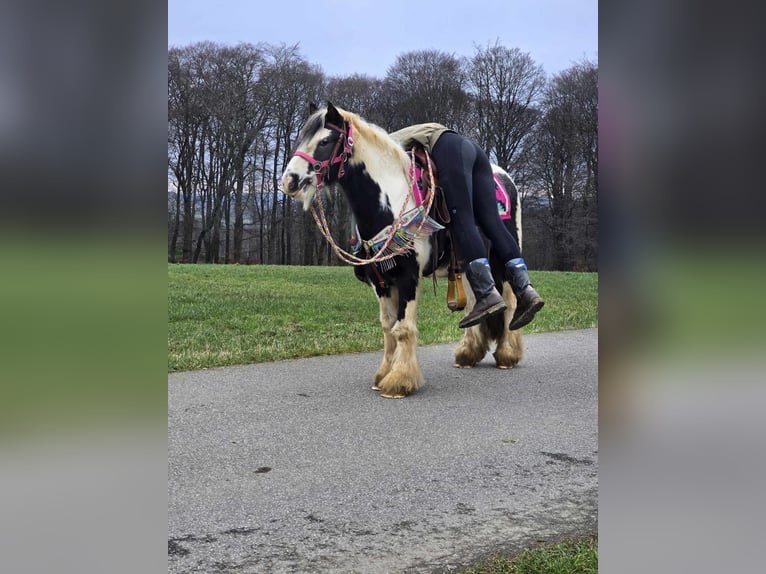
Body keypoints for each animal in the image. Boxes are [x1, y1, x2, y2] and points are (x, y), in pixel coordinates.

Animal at [284, 103, 528, 398]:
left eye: (324, 141)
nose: (289, 181)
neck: (390, 201)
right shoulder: (381, 282)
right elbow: (388, 328)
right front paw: (383, 374)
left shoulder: (408, 278)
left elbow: (402, 329)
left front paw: (399, 380)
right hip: (468, 264)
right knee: (477, 301)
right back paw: (468, 353)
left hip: (499, 255)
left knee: (510, 300)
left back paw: (507, 354)